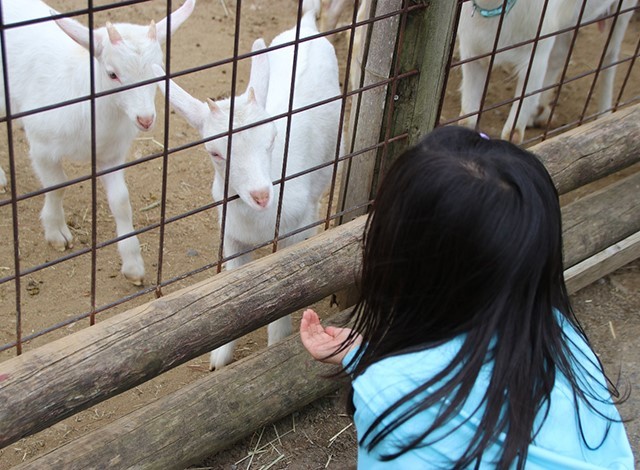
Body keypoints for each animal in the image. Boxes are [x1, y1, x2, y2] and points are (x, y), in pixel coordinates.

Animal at [0, 0, 195, 282]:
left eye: (159, 68)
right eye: (112, 74)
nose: (146, 119)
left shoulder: (110, 155)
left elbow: (121, 202)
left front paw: (133, 264)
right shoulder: (43, 147)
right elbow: (57, 186)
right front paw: (56, 232)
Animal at [154, 4, 342, 370]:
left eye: (272, 138)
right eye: (215, 152)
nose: (261, 195)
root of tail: (306, 24)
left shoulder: (292, 236)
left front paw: (275, 348)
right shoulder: (233, 238)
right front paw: (219, 360)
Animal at [458, 0, 636, 143]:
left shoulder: (535, 60)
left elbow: (514, 134)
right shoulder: (472, 53)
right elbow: (466, 120)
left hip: (623, 11)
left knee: (610, 55)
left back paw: (605, 117)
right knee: (560, 55)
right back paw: (539, 112)